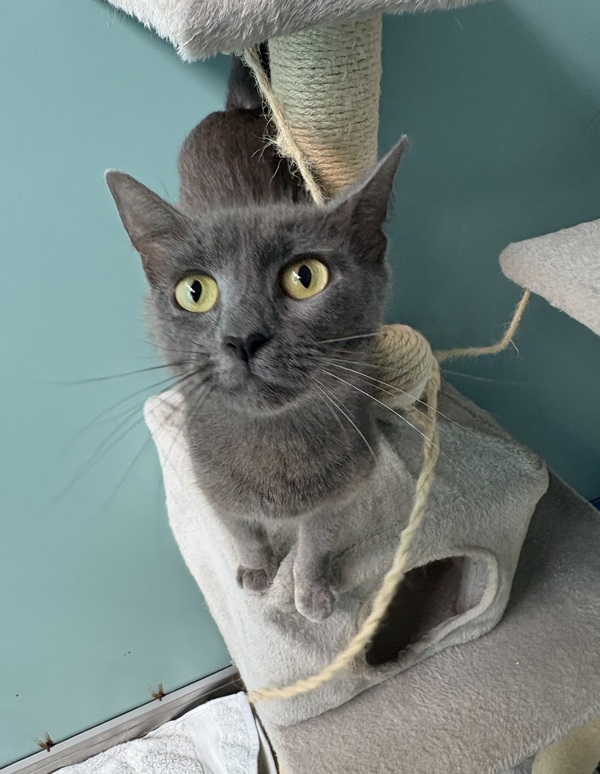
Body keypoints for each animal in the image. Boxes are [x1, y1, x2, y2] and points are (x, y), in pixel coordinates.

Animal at [106, 56, 406, 623]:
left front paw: (311, 592)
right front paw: (257, 572)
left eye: (306, 277)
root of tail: (239, 110)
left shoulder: (345, 487)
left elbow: (317, 541)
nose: (243, 337)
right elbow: (241, 530)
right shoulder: (210, 485)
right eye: (194, 291)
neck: (275, 450)